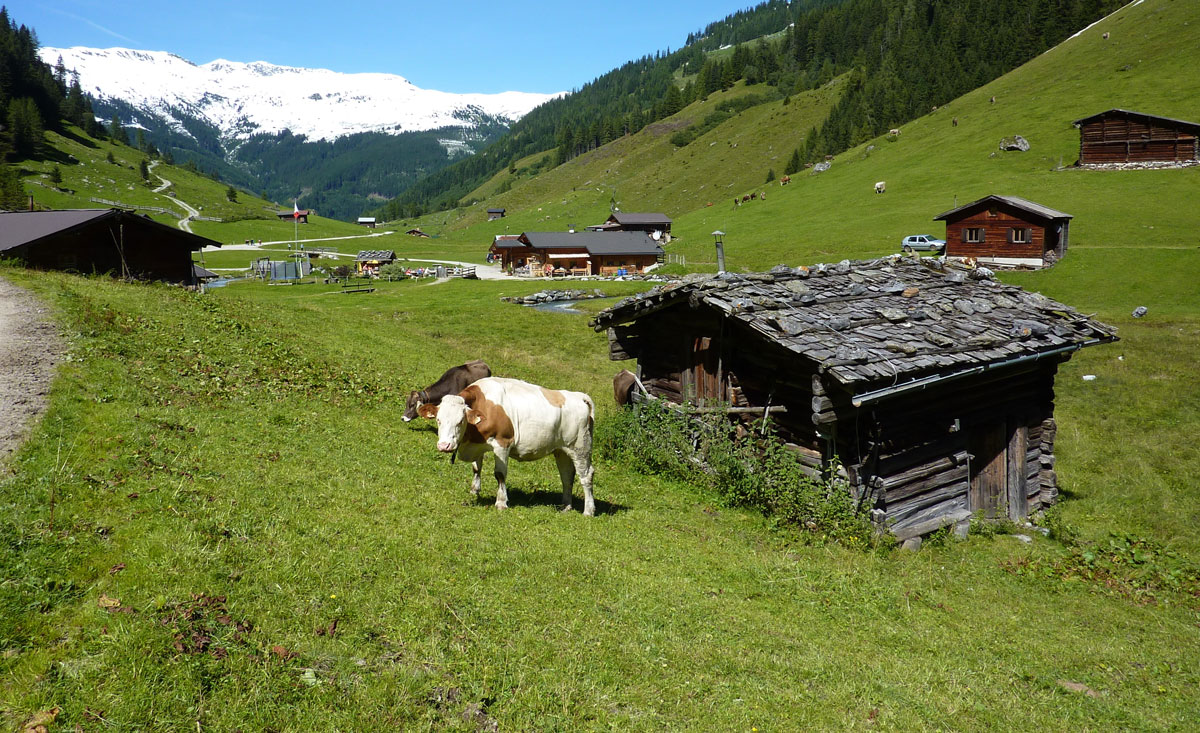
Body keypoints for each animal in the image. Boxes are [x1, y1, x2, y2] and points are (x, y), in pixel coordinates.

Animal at [420, 379, 597, 515]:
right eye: (438, 420)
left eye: (460, 421)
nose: (444, 445)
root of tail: (579, 396)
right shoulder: (478, 444)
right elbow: (477, 468)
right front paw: (474, 490)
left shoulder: (502, 443)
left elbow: (500, 474)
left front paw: (501, 502)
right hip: (562, 450)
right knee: (567, 476)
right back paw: (566, 506)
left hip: (581, 447)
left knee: (586, 476)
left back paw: (588, 511)